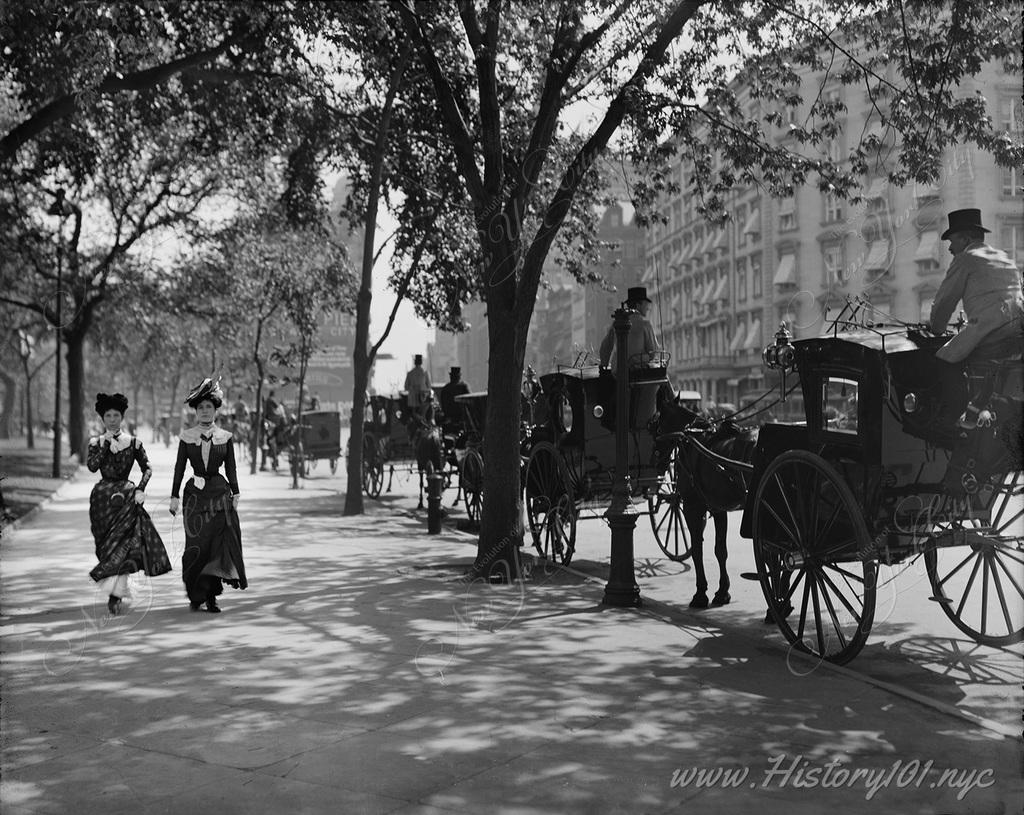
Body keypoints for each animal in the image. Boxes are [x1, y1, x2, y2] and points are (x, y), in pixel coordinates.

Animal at [655, 395, 761, 610]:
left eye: (658, 424)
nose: (656, 458)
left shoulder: (692, 506)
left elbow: (697, 549)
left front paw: (700, 594)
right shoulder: (719, 508)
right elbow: (720, 550)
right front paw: (722, 592)